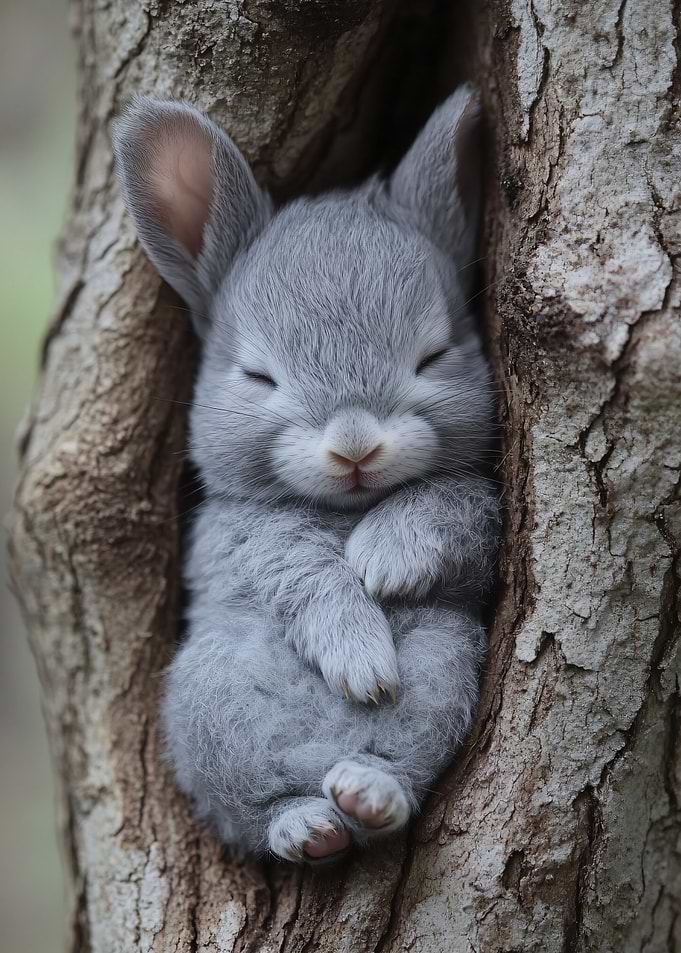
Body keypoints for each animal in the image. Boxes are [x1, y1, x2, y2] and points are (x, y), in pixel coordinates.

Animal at [113, 84, 500, 864]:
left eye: (434, 355)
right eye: (257, 375)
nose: (354, 447)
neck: (346, 507)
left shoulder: (476, 515)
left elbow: (454, 505)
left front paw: (383, 559)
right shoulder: (237, 537)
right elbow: (300, 568)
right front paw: (362, 663)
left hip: (443, 668)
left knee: (397, 777)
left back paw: (366, 792)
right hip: (208, 704)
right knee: (256, 812)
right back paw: (310, 826)